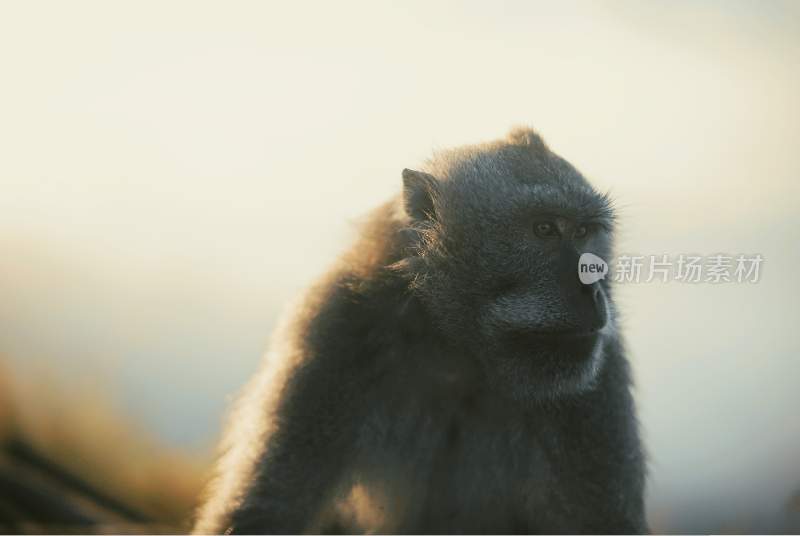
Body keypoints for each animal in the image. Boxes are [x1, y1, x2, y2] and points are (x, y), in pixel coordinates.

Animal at [194, 127, 648, 532]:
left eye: (585, 232)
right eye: (545, 229)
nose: (593, 288)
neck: (461, 352)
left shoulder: (598, 372)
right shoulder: (337, 330)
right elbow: (266, 510)